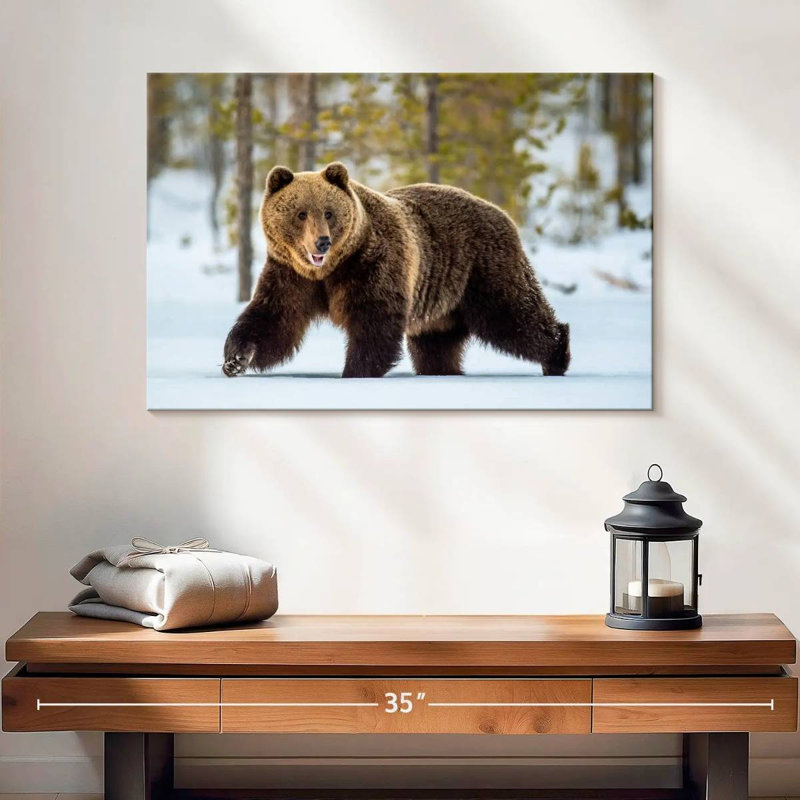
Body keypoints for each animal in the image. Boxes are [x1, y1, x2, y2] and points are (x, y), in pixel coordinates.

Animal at [222, 162, 570, 379]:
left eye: (329, 212)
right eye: (301, 213)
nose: (322, 242)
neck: (329, 270)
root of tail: (503, 213)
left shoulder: (372, 263)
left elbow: (374, 320)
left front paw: (354, 371)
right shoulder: (290, 273)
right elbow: (274, 318)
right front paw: (235, 359)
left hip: (482, 268)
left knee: (513, 315)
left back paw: (557, 353)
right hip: (442, 301)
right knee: (436, 343)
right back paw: (443, 370)